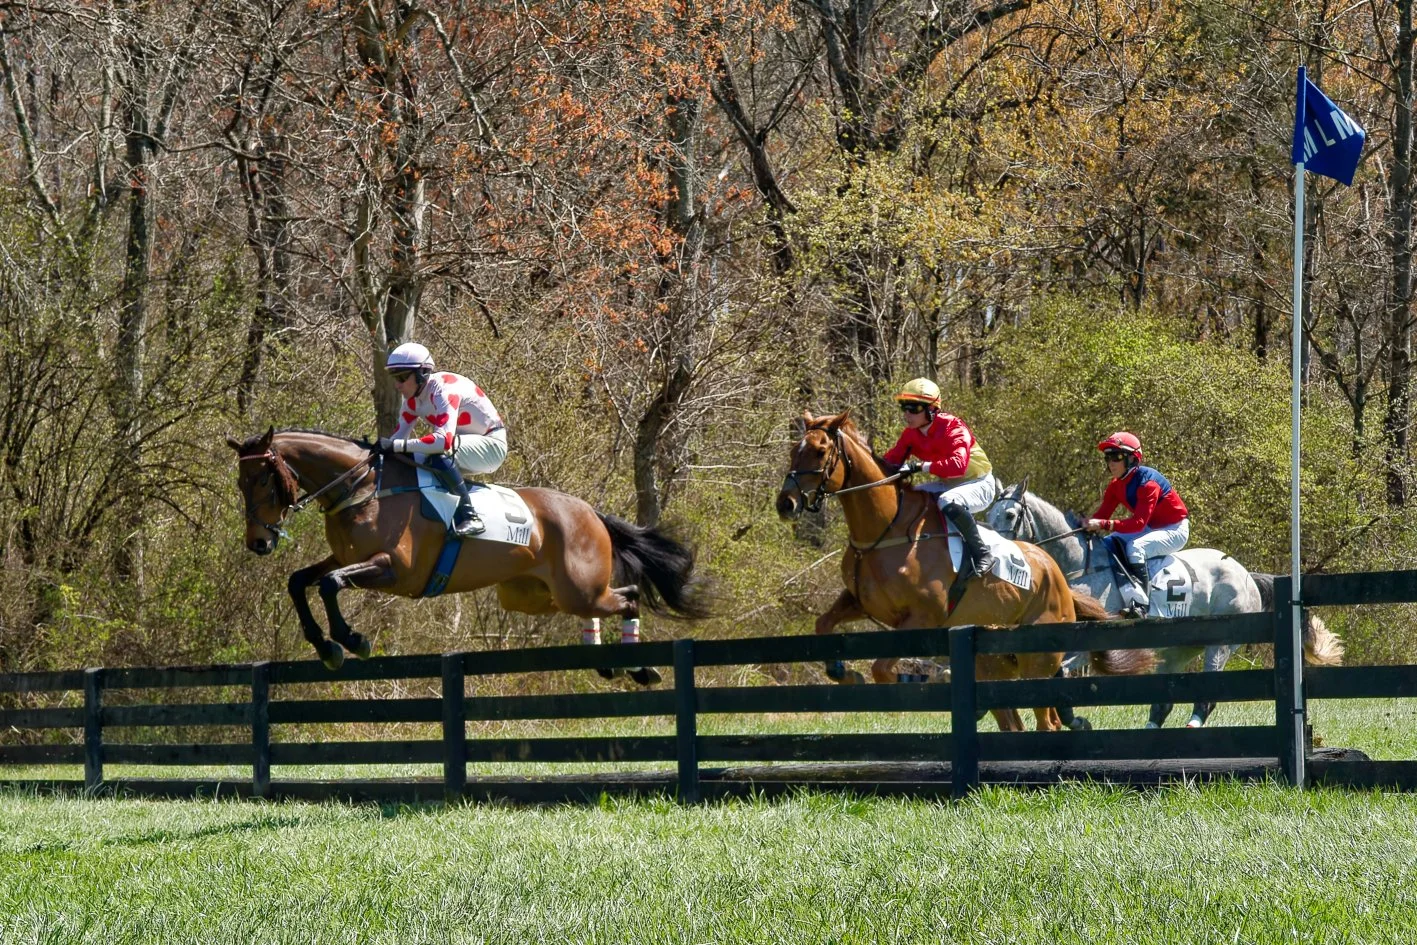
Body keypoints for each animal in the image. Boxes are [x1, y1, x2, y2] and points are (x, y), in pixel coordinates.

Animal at [226, 427, 710, 681]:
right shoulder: (346, 558)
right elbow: (301, 581)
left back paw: (640, 668)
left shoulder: (394, 569)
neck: (362, 489)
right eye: (240, 483)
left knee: (628, 598)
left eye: (264, 480)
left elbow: (329, 584)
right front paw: (324, 645)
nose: (258, 542)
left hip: (580, 587)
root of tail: (590, 511)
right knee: (607, 601)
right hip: (535, 595)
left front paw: (349, 640)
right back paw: (606, 665)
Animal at [773, 411, 1155, 733]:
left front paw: (912, 681)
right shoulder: (859, 602)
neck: (884, 529)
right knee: (1013, 720)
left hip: (1038, 655)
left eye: (821, 452)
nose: (786, 504)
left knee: (1046, 717)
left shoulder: (921, 618)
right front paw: (842, 671)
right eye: (794, 449)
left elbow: (882, 669)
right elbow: (823, 624)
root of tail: (1056, 571)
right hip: (995, 662)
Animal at [986, 482, 1343, 727]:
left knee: (1207, 694)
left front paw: (1075, 720)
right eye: (988, 515)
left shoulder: (1091, 642)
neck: (1080, 565)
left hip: (1221, 644)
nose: (994, 553)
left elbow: (1060, 672)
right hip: (1177, 649)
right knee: (1164, 701)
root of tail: (1246, 575)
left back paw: (1191, 726)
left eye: (1010, 514)